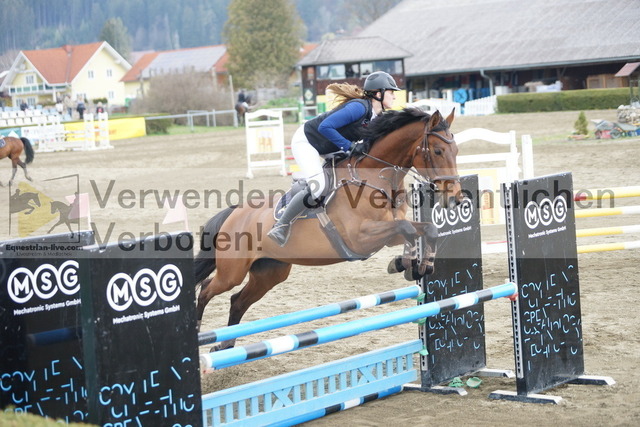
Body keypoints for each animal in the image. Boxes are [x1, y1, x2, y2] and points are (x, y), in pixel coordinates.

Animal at [194, 108, 462, 350]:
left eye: (456, 151)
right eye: (438, 151)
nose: (455, 199)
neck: (374, 179)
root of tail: (234, 213)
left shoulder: (388, 234)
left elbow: (424, 229)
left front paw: (417, 266)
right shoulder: (360, 237)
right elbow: (407, 228)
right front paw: (406, 264)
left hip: (270, 272)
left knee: (237, 301)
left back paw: (225, 345)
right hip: (232, 272)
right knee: (207, 289)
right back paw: (198, 333)